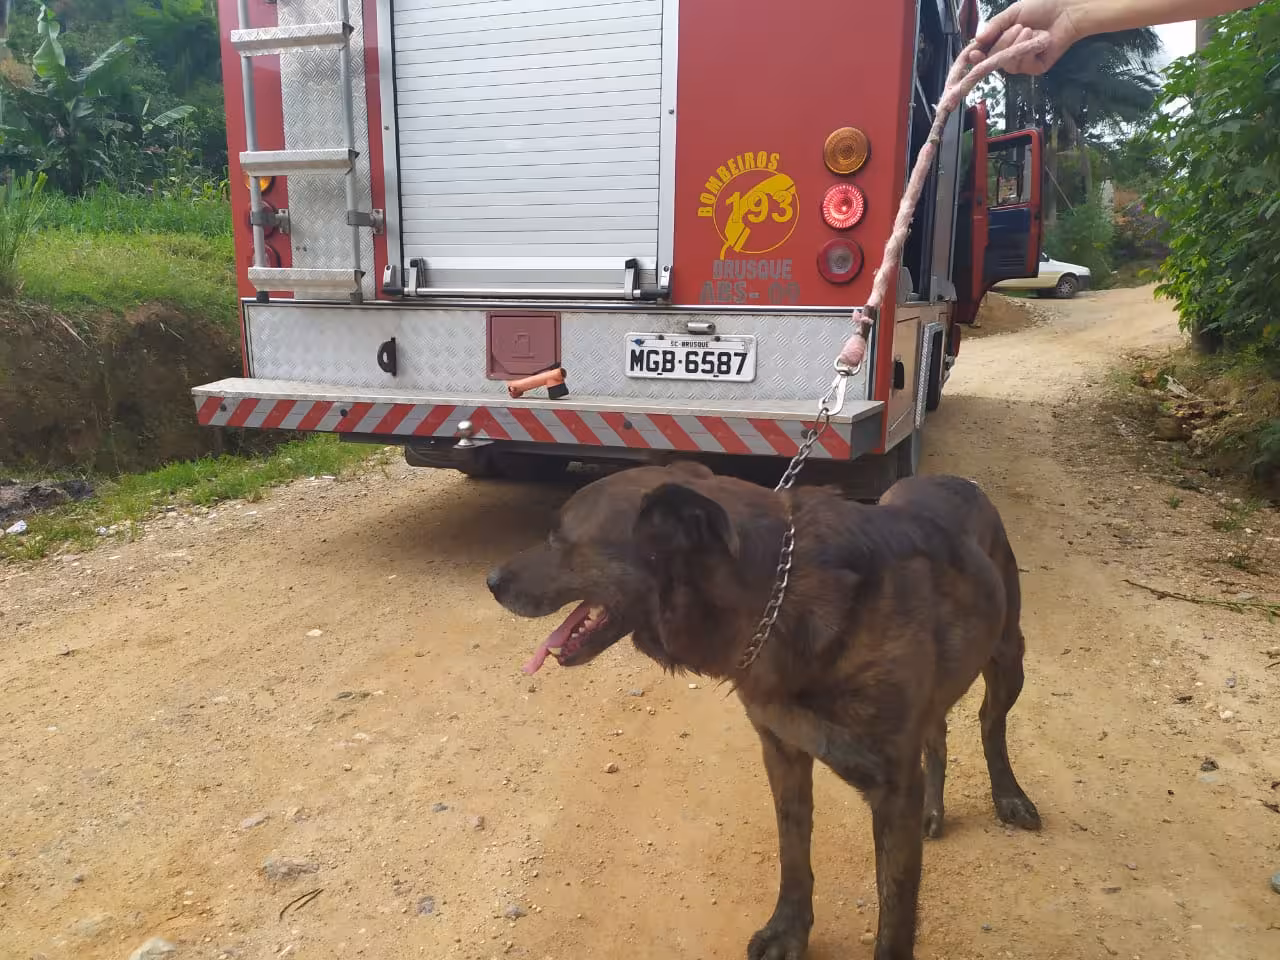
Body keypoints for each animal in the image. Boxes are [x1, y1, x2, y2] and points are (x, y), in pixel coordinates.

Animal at [487, 462, 1041, 960]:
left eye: (558, 538)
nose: (490, 580)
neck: (775, 596)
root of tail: (958, 480)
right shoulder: (783, 752)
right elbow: (793, 855)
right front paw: (788, 933)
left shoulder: (891, 791)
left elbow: (894, 917)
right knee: (938, 732)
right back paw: (935, 808)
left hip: (1008, 659)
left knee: (990, 725)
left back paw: (1010, 796)